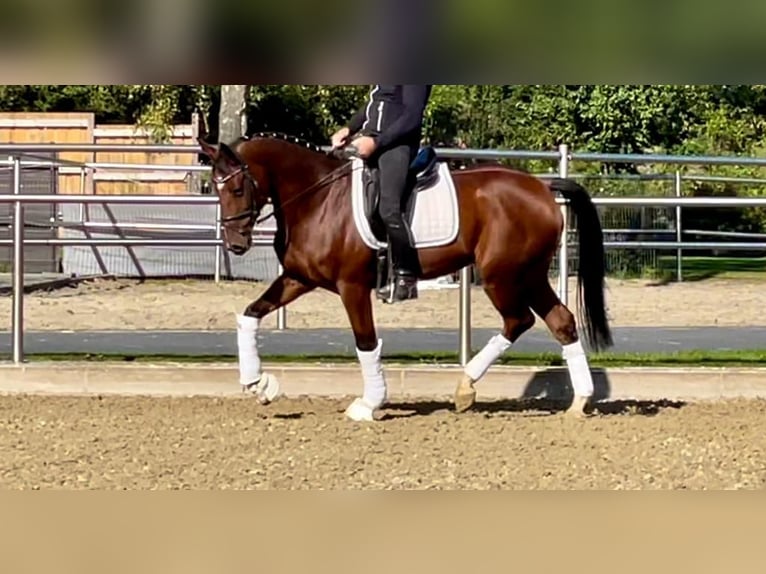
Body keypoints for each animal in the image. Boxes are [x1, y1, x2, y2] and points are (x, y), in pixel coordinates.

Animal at [197, 132, 613, 422]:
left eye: (238, 187)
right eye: (216, 187)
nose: (235, 244)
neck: (318, 200)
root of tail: (541, 187)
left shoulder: (352, 287)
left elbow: (366, 342)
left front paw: (368, 404)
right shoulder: (299, 278)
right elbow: (249, 315)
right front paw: (258, 384)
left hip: (503, 276)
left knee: (519, 320)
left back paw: (466, 388)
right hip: (529, 275)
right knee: (561, 321)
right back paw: (578, 402)